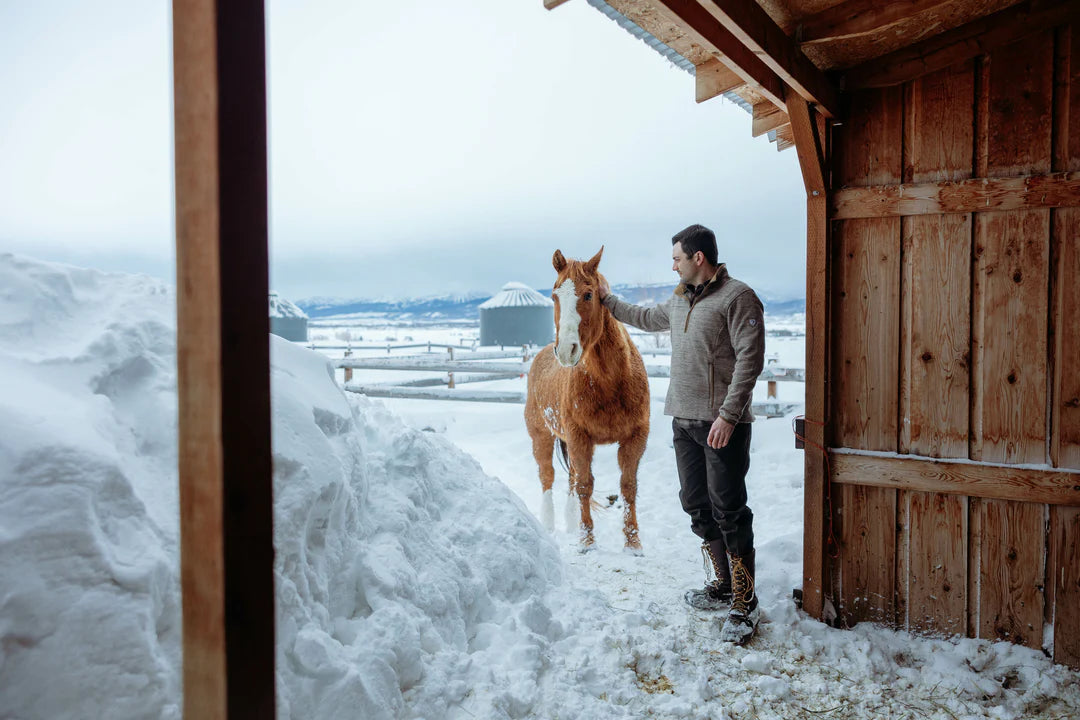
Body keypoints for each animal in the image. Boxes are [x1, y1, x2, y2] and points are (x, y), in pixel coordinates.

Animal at [522, 246, 648, 552]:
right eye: (554, 295)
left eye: (589, 294)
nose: (567, 350)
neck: (609, 382)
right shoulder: (580, 437)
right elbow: (585, 486)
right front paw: (587, 541)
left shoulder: (635, 438)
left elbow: (628, 486)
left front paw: (633, 542)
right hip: (542, 436)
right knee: (548, 477)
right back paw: (550, 525)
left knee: (569, 478)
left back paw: (569, 524)